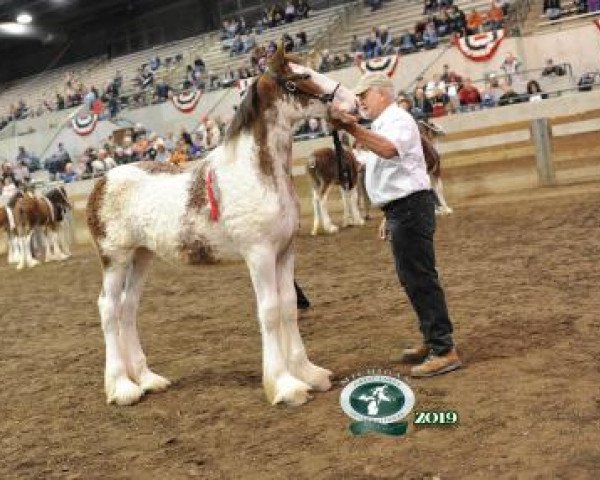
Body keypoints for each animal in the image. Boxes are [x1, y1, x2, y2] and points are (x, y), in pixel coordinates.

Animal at [84, 44, 356, 404]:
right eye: (301, 77)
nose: (353, 102)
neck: (257, 172)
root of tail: (102, 181)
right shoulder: (259, 255)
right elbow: (270, 311)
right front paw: (285, 385)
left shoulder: (285, 252)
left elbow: (287, 307)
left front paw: (309, 373)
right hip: (115, 259)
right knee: (108, 308)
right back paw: (122, 387)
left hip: (142, 256)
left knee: (127, 309)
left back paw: (146, 380)